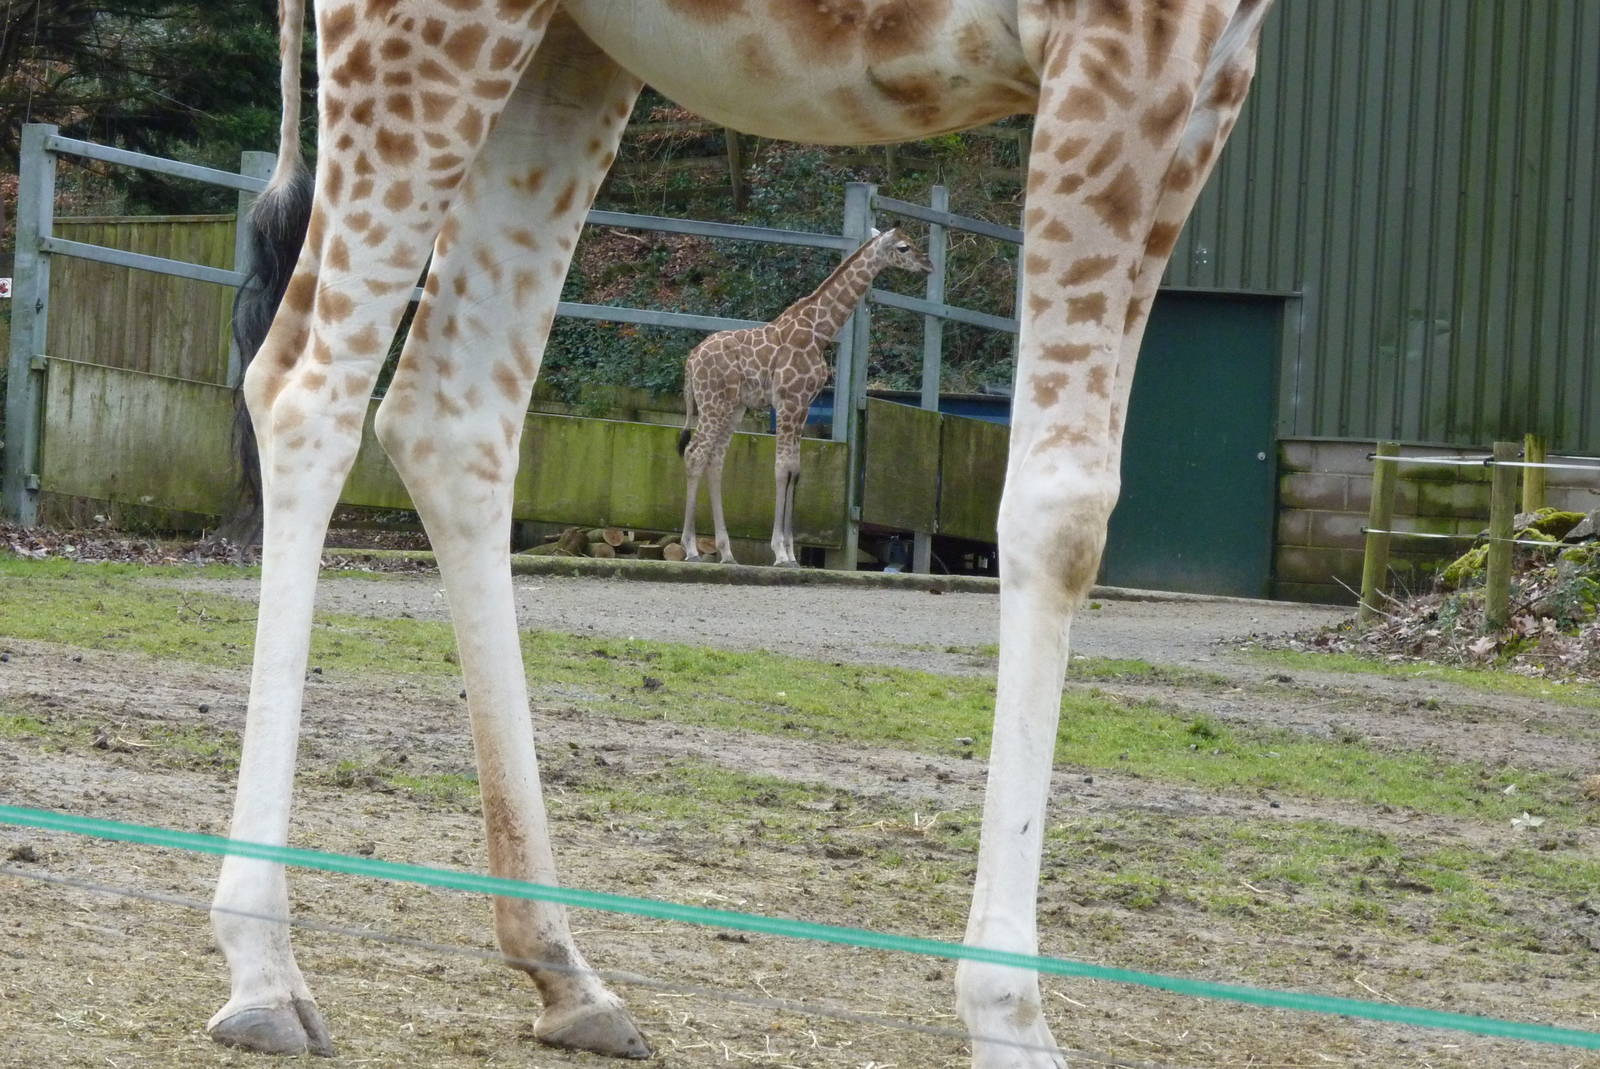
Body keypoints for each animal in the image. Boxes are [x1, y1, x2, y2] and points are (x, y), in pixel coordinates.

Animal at [679, 227, 932, 566]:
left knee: (714, 459)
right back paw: (692, 548)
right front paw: (781, 552)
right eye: (904, 247)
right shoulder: (790, 401)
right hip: (713, 403)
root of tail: (691, 360)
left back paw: (727, 552)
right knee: (695, 453)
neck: (820, 331)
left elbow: (796, 471)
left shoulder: (804, 406)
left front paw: (790, 552)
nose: (929, 264)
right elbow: (782, 469)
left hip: (732, 407)